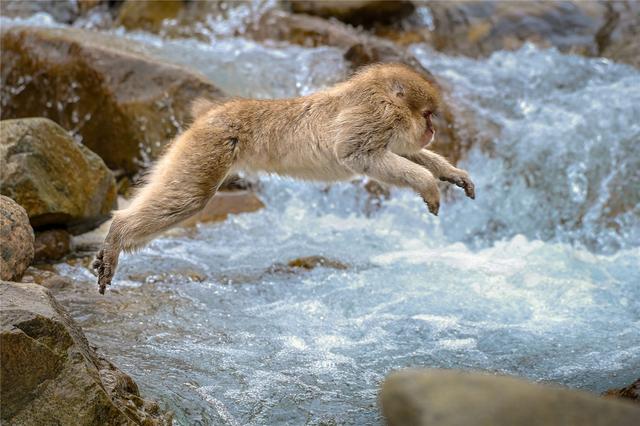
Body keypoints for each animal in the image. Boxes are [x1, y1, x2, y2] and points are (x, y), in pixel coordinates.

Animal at [95, 63, 476, 294]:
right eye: (427, 115)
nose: (432, 131)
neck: (379, 96)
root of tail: (213, 113)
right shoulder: (371, 118)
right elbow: (357, 156)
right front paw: (428, 184)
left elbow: (400, 152)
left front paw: (449, 172)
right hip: (208, 145)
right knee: (190, 198)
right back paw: (119, 232)